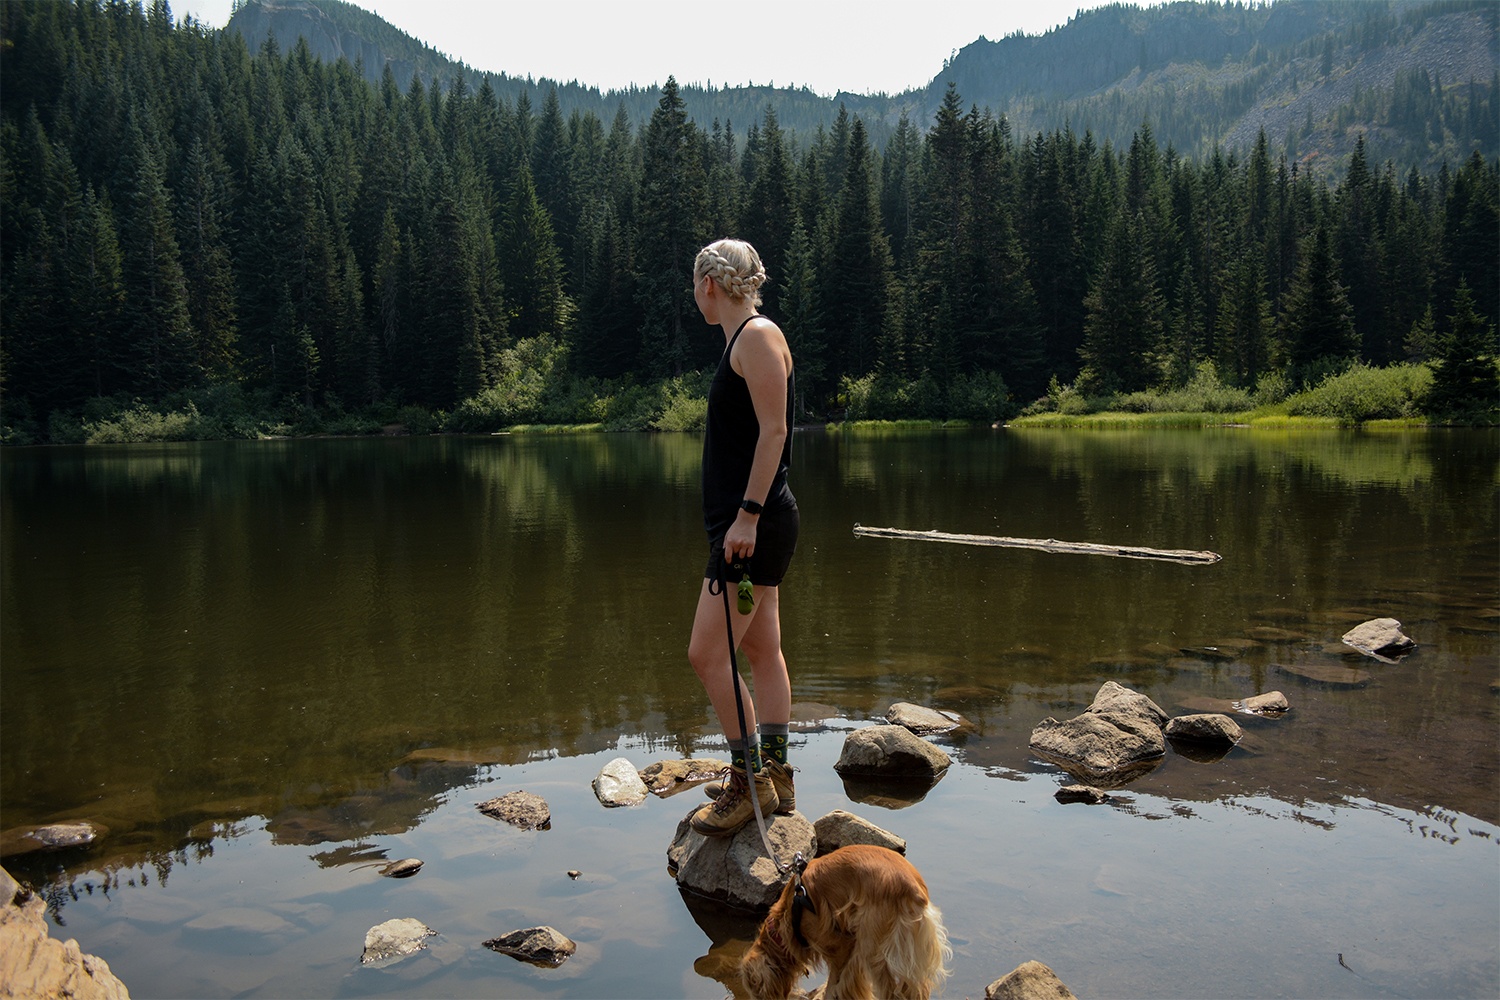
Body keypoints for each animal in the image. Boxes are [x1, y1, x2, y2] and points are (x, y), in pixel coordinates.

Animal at [738, 845, 948, 1000]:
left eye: (754, 991)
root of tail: (914, 888)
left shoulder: (839, 945)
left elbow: (836, 980)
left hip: (873, 947)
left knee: (891, 991)